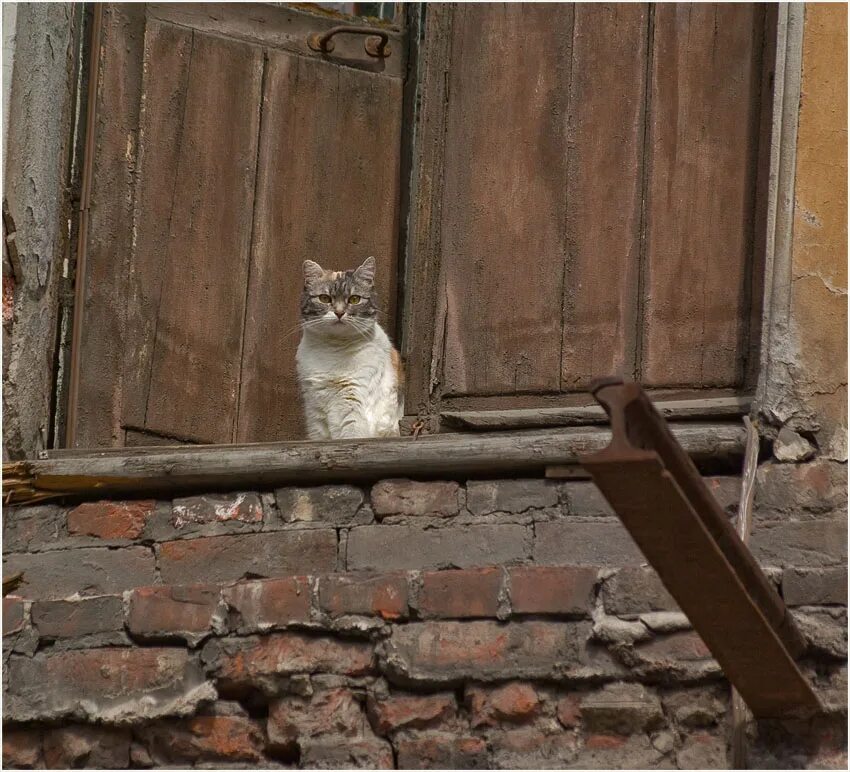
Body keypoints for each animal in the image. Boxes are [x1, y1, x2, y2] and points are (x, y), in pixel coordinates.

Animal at [296, 256, 402, 440]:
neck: (333, 349)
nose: (339, 312)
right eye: (324, 298)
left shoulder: (353, 401)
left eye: (354, 299)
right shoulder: (315, 410)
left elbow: (351, 433)